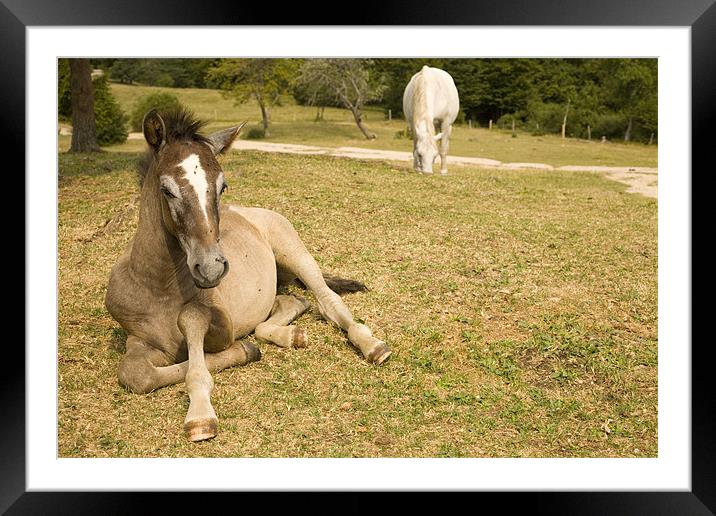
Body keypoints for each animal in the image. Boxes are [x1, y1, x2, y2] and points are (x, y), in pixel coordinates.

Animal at [105, 109, 392, 440]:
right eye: (167, 190)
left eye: (222, 186)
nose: (211, 267)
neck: (157, 287)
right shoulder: (138, 339)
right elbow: (135, 374)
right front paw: (249, 350)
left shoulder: (223, 327)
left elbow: (191, 321)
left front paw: (201, 412)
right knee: (293, 303)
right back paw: (290, 335)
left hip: (294, 251)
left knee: (327, 300)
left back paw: (373, 346)